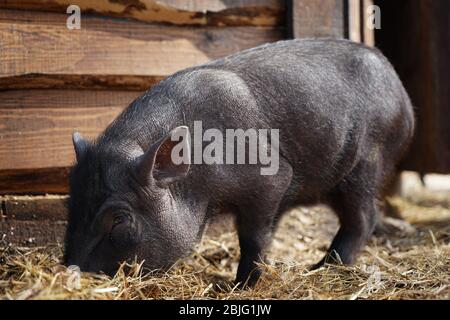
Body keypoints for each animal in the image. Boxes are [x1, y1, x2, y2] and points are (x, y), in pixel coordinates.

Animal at [64, 38, 414, 286]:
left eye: (119, 220)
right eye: (71, 205)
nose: (72, 272)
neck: (198, 186)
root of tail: (403, 96)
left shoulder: (272, 179)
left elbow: (253, 236)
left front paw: (240, 286)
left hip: (369, 160)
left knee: (364, 217)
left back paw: (322, 267)